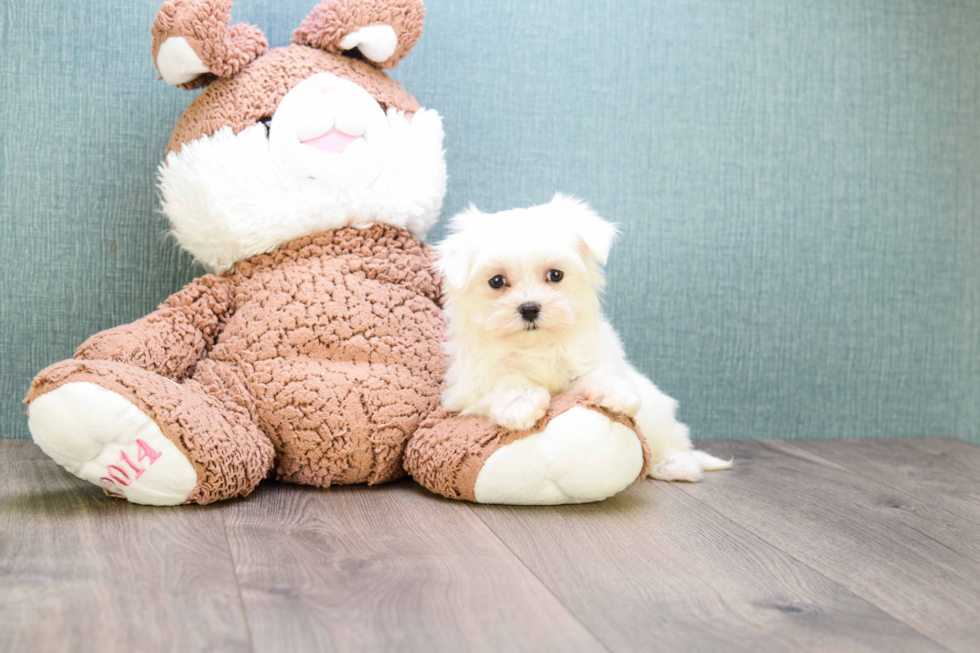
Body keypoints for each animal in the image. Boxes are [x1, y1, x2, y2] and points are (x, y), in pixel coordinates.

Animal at [434, 192, 728, 478]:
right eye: (496, 281)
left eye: (555, 275)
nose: (529, 308)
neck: (537, 345)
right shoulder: (467, 388)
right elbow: (504, 381)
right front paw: (521, 403)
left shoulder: (591, 354)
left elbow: (597, 372)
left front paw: (617, 394)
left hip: (660, 418)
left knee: (674, 440)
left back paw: (676, 464)